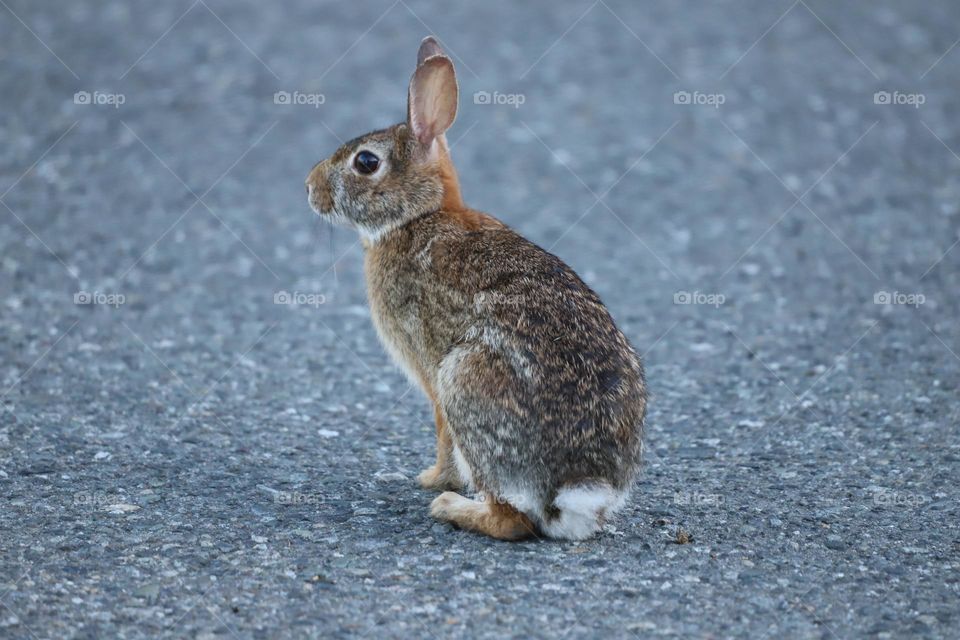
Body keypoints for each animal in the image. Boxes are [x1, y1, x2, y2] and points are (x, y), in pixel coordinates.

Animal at [306, 36, 652, 540]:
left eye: (366, 162)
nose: (309, 188)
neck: (418, 215)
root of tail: (575, 488)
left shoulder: (429, 372)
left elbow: (441, 431)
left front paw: (433, 479)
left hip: (464, 379)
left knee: (512, 520)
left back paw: (452, 506)